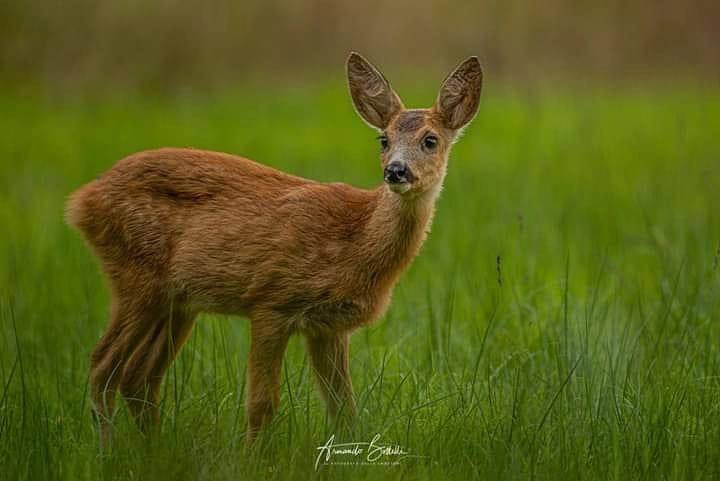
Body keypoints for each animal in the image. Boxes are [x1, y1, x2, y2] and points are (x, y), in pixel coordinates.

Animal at [67, 50, 484, 444]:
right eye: (383, 139)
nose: (395, 170)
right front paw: (250, 460)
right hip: (136, 279)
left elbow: (343, 409)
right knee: (102, 366)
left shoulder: (328, 327)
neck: (356, 240)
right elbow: (262, 404)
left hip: (177, 302)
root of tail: (82, 200)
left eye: (430, 140)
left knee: (138, 376)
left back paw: (154, 451)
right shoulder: (271, 301)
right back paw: (109, 452)